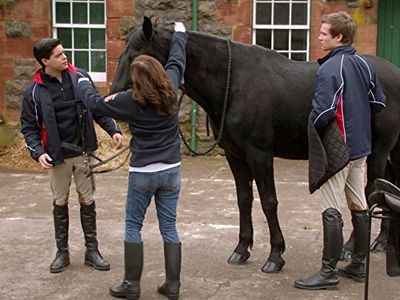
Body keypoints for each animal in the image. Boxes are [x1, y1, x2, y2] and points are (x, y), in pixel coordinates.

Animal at [109, 17, 400, 274]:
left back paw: (363, 245)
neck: (233, 82)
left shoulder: (259, 154)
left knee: (371, 191)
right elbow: (244, 199)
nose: (113, 95)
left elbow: (269, 201)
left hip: (378, 152)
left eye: (135, 56)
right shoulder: (235, 156)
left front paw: (275, 255)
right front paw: (242, 248)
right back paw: (369, 244)